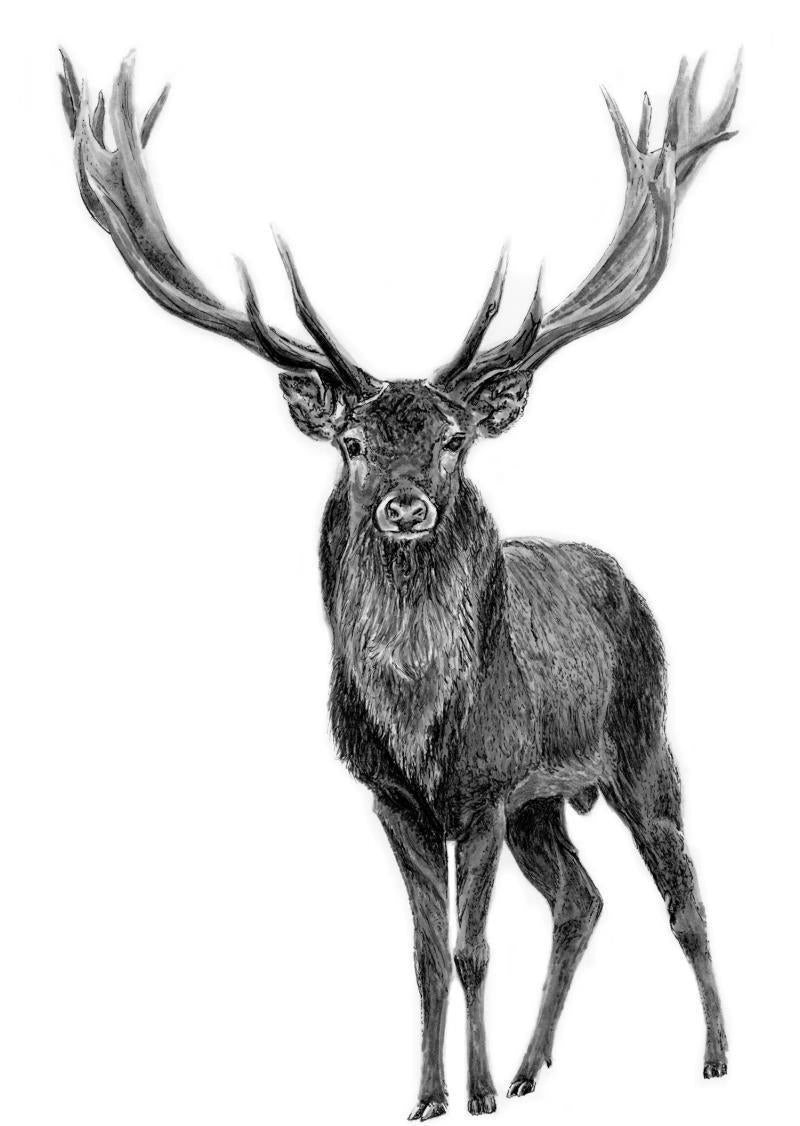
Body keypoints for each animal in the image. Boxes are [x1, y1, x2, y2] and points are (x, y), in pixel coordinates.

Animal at [59, 48, 740, 1119]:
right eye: (352, 442)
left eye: (455, 439)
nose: (407, 507)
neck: (421, 724)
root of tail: (619, 574)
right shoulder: (392, 798)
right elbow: (424, 956)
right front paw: (428, 1095)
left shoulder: (487, 788)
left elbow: (472, 949)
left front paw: (476, 1096)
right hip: (547, 801)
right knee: (583, 899)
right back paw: (535, 1066)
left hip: (641, 745)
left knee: (686, 894)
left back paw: (713, 1055)